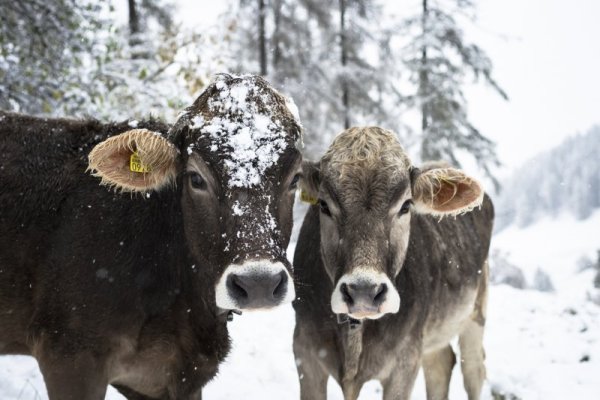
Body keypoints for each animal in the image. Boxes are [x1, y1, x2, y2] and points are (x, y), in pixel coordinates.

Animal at [292, 127, 494, 400]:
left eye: (406, 205)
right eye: (323, 205)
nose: (364, 292)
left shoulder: (405, 362)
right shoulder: (304, 352)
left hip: (475, 314)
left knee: (473, 369)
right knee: (441, 363)